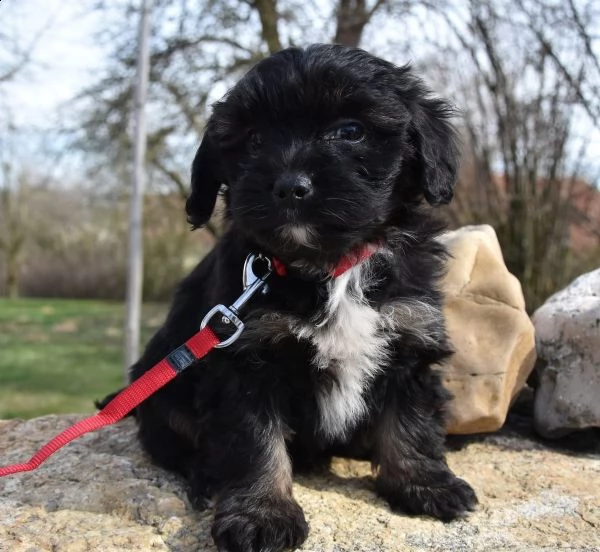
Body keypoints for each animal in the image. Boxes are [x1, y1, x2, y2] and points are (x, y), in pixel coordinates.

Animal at [130, 44, 478, 552]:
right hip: (162, 391)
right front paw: (262, 515)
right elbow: (253, 442)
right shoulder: (246, 359)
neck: (332, 266)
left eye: (351, 131)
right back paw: (206, 476)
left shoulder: (410, 337)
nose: (290, 186)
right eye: (254, 140)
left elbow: (411, 422)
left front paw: (425, 484)